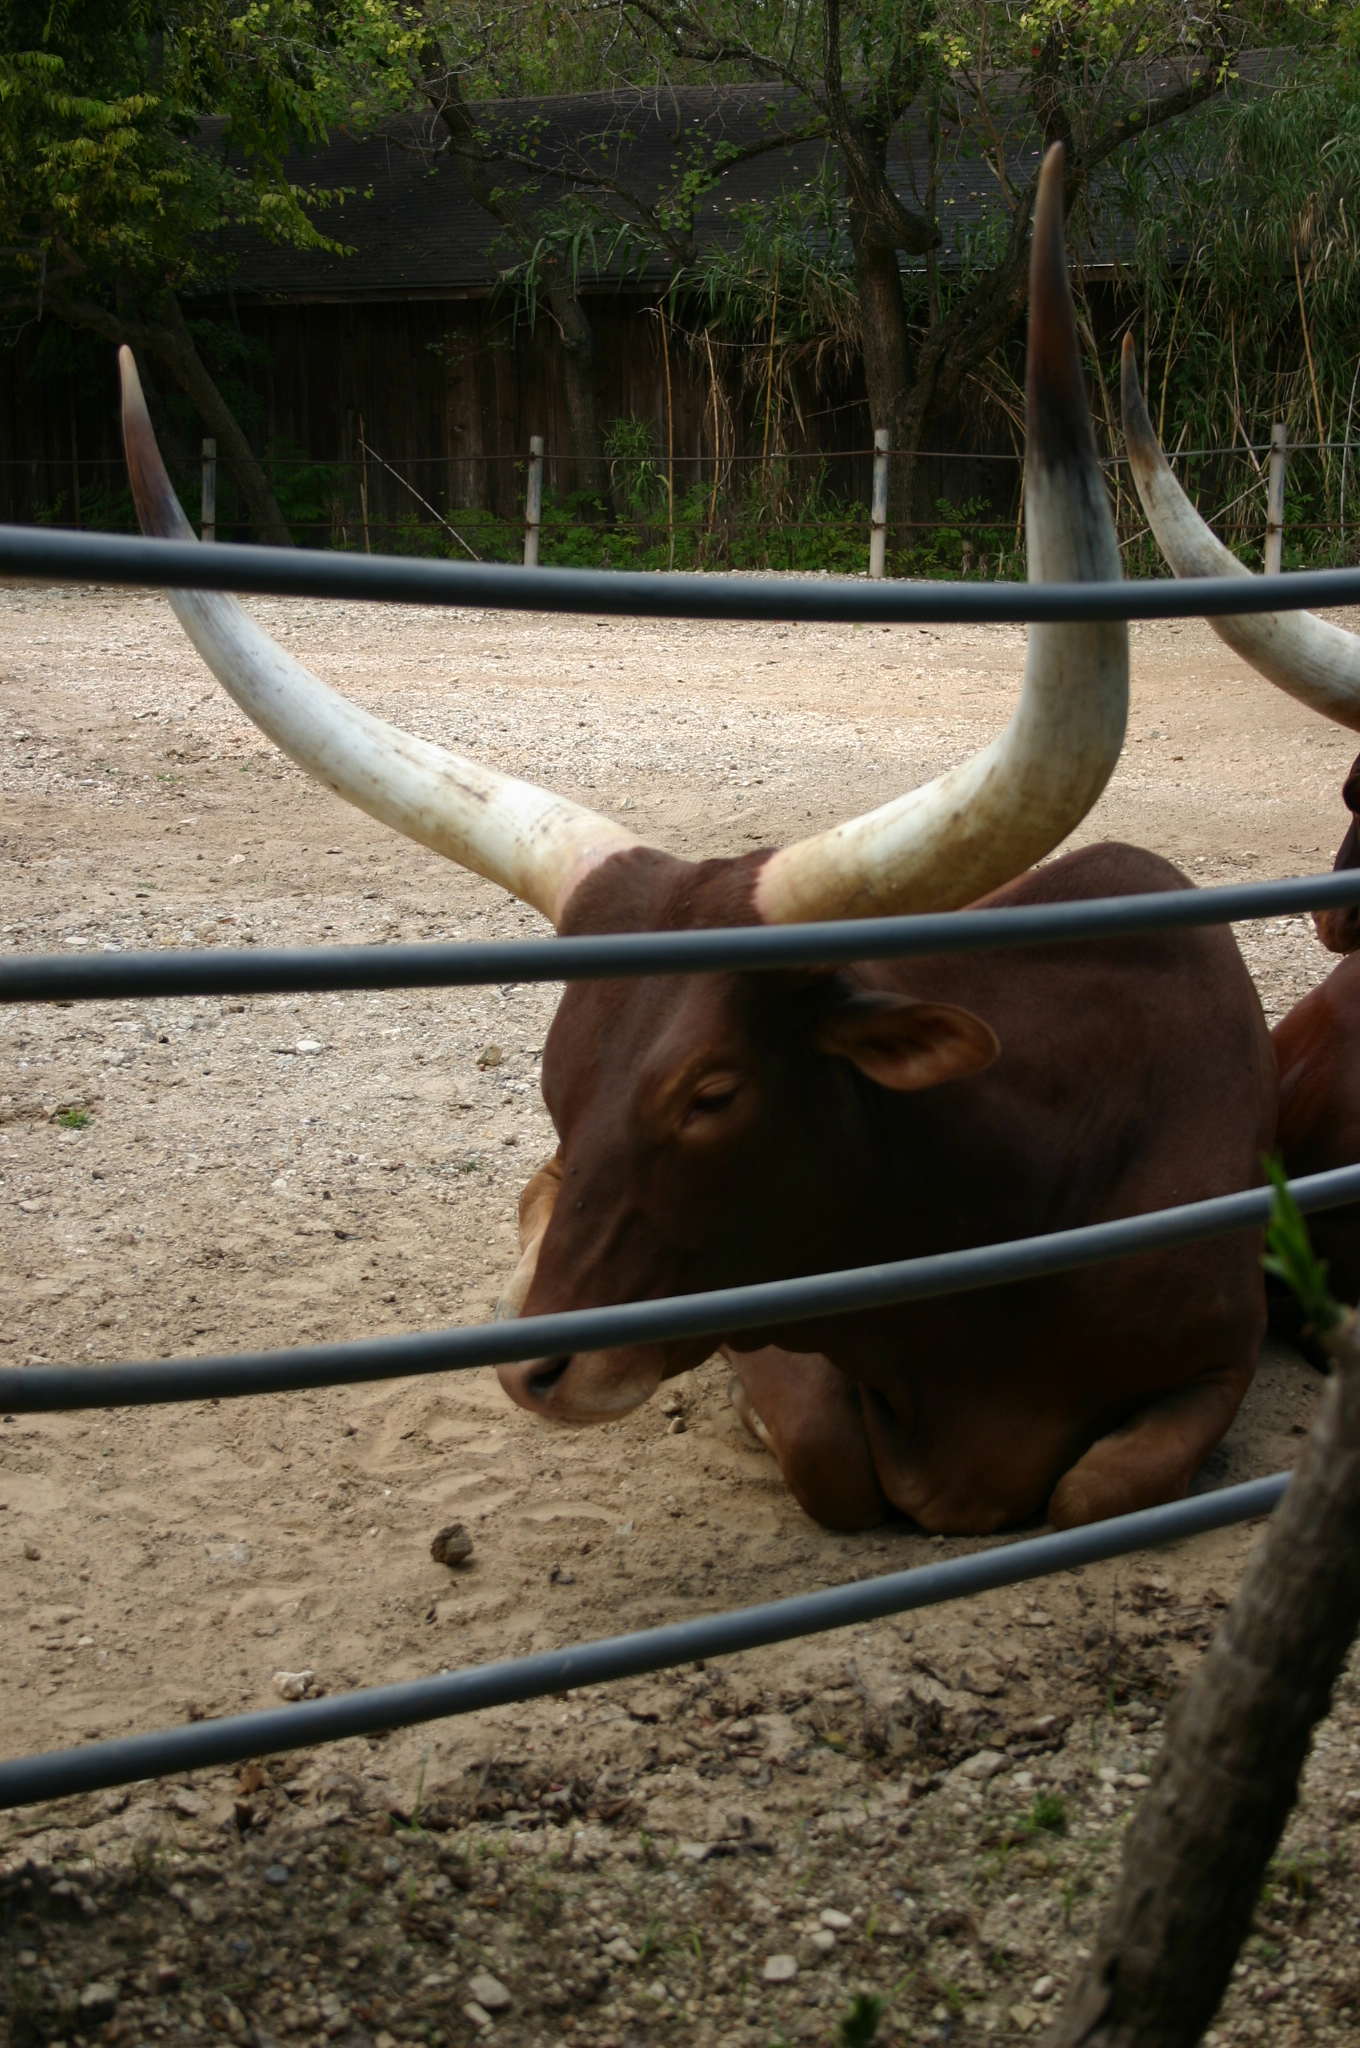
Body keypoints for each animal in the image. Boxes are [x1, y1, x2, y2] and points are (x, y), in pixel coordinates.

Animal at [121, 148, 1286, 1535]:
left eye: (712, 1091)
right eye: (553, 1080)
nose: (534, 1364)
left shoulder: (1223, 1353)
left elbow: (1094, 1485)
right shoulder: (764, 1328)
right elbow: (828, 1459)